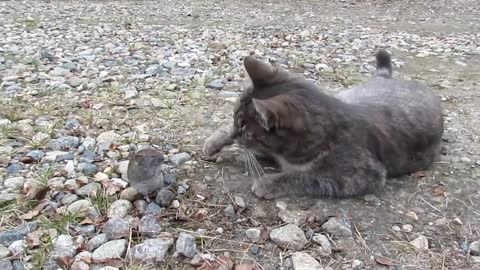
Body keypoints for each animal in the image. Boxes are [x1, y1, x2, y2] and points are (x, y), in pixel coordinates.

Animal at [202, 49, 442, 199]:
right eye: (236, 121)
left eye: (244, 128)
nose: (236, 134)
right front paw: (215, 140)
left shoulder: (362, 175)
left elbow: (307, 177)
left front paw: (269, 182)